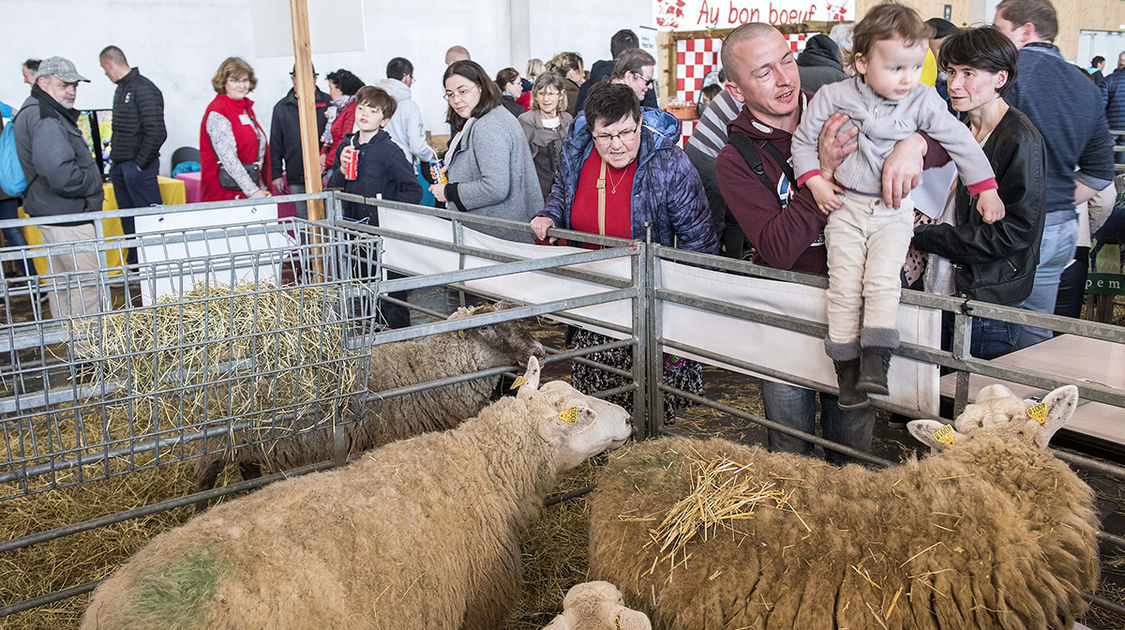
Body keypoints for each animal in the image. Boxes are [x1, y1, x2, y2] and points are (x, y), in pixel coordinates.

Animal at [195, 299, 546, 497]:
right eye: (486, 327)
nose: (540, 350)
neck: (429, 369)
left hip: (247, 442)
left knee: (247, 469)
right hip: (214, 443)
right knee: (203, 481)